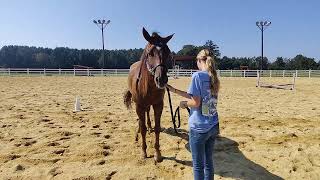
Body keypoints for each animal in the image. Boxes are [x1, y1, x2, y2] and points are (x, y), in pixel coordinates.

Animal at [123, 27, 174, 162]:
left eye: (167, 52)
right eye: (150, 53)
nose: (161, 79)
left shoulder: (158, 105)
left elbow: (157, 128)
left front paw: (157, 153)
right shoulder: (139, 106)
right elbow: (143, 129)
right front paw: (144, 152)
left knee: (147, 115)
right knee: (142, 122)